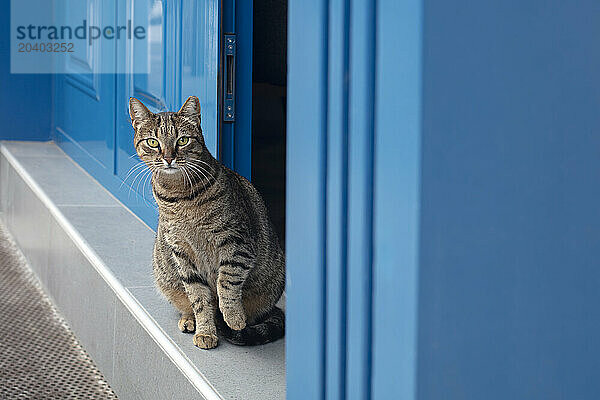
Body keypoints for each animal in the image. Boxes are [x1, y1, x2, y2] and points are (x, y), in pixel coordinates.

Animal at [127, 95, 286, 348]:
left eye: (182, 140)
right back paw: (190, 320)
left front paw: (233, 317)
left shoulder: (237, 244)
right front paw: (205, 330)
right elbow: (199, 297)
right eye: (153, 142)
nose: (168, 158)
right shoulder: (182, 253)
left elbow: (226, 283)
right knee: (187, 302)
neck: (180, 196)